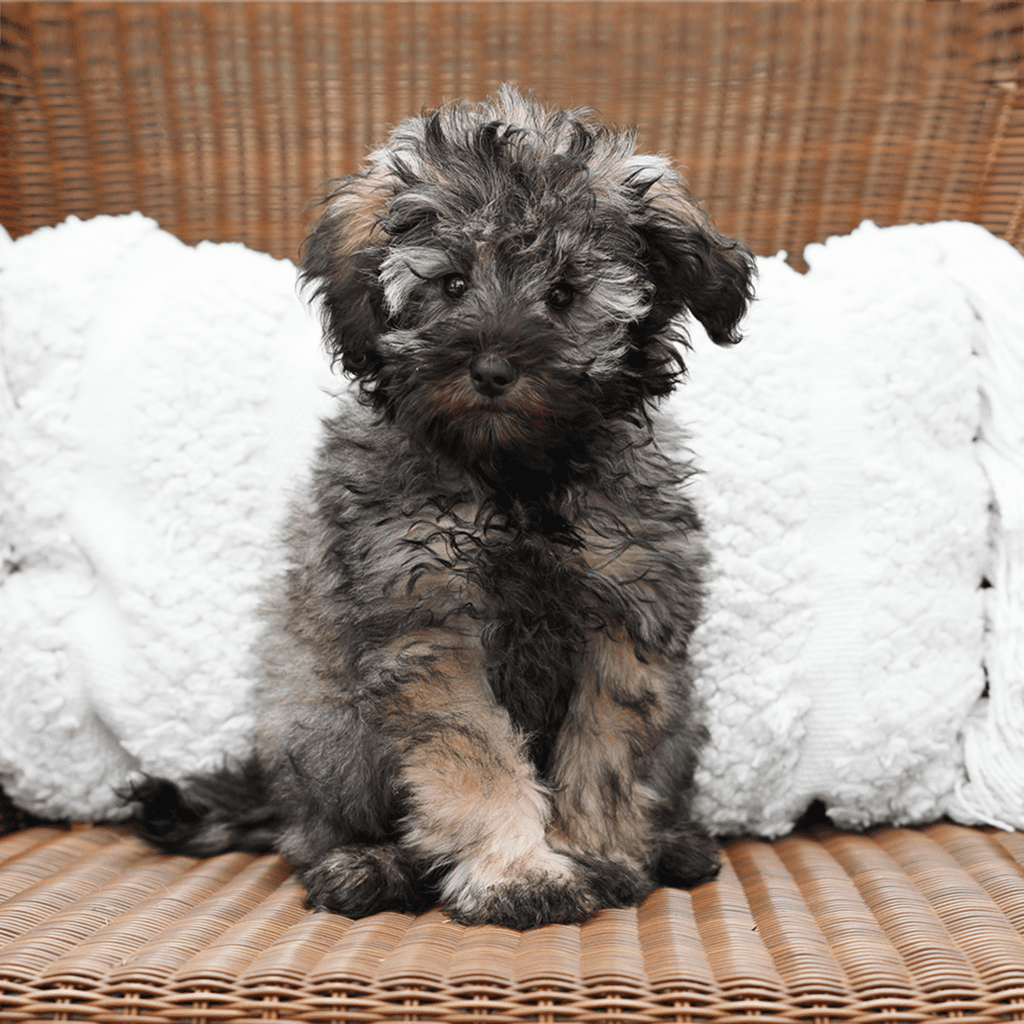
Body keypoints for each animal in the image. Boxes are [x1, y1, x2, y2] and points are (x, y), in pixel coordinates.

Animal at [132, 88, 757, 929]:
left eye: (565, 294)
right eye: (453, 283)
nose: (492, 367)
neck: (517, 480)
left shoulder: (625, 619)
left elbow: (605, 754)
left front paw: (596, 854)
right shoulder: (430, 622)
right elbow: (475, 758)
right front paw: (517, 872)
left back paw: (675, 844)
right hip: (324, 729)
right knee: (316, 830)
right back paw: (368, 867)